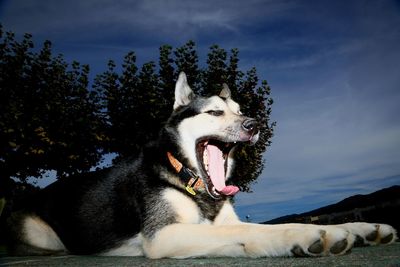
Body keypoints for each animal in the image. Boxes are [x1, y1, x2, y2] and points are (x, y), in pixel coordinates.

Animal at [6, 72, 396, 258]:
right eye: (214, 112)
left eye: (241, 110)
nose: (254, 124)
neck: (191, 181)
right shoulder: (164, 235)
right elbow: (256, 231)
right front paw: (302, 235)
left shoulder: (215, 226)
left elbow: (246, 230)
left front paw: (365, 229)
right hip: (38, 232)